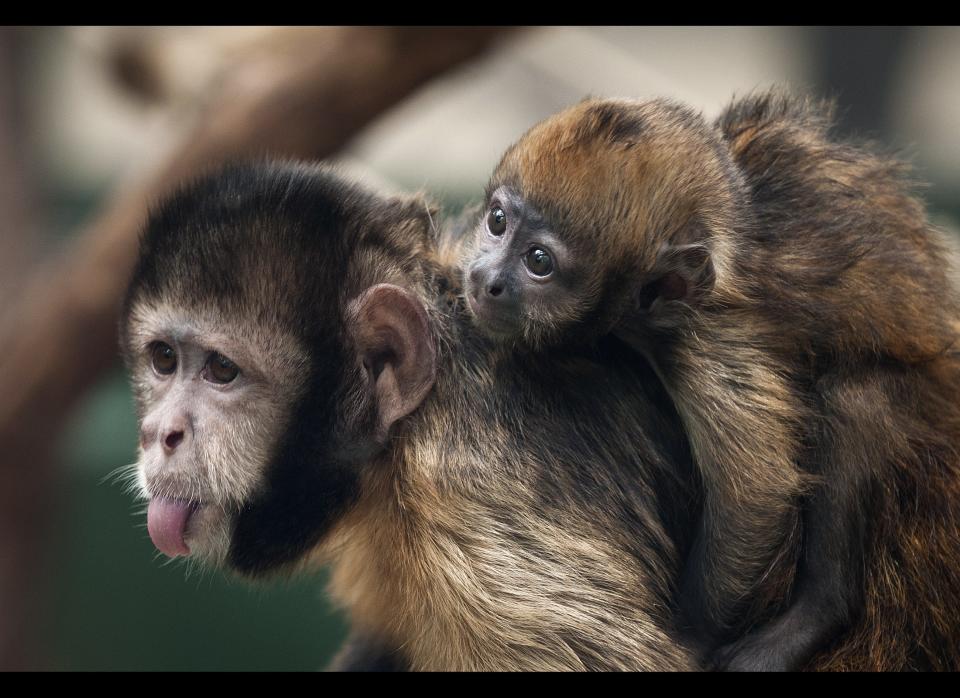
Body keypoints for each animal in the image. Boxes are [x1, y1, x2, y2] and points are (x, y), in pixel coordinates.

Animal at [464, 89, 960, 668]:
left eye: (539, 261)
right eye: (498, 221)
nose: (486, 279)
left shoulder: (710, 339)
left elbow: (757, 494)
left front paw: (689, 640)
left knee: (855, 399)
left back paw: (818, 612)